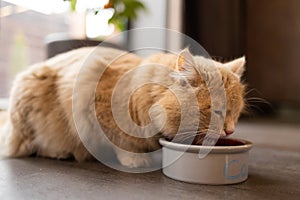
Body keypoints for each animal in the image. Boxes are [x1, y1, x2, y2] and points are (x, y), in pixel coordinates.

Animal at [0, 46, 246, 167]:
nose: (230, 130)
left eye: (235, 114)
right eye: (217, 111)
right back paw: (61, 153)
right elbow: (122, 141)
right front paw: (135, 160)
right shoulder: (94, 107)